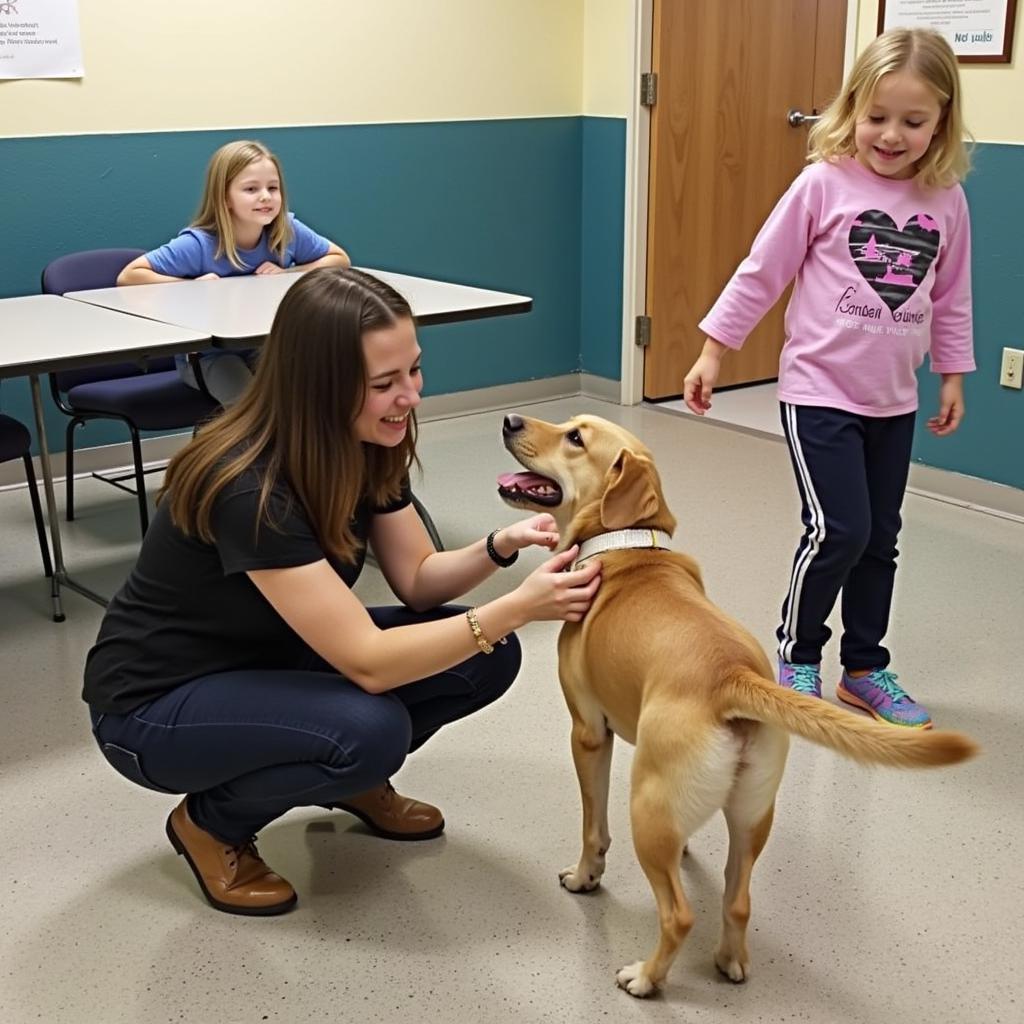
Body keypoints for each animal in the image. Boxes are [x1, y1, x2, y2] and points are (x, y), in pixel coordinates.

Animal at [499, 411, 978, 995]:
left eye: (575, 437)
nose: (510, 419)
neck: (623, 544)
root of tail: (732, 676)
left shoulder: (589, 733)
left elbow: (594, 827)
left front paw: (585, 875)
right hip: (751, 815)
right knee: (738, 899)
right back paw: (730, 958)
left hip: (647, 806)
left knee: (679, 915)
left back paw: (646, 977)